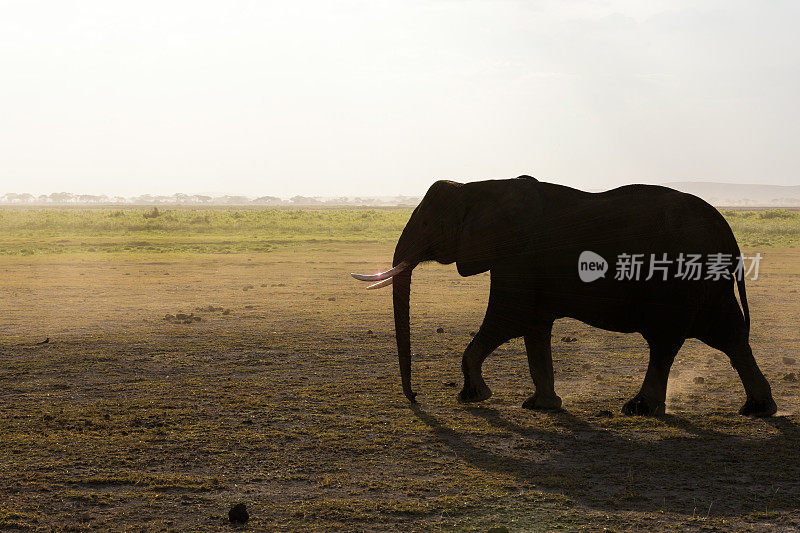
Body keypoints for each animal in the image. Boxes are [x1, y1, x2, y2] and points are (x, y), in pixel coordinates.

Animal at [350, 177, 776, 418]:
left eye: (426, 222)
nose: (416, 397)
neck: (476, 186)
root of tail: (728, 231)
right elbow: (533, 327)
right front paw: (542, 407)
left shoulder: (517, 256)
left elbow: (508, 318)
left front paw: (473, 397)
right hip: (707, 282)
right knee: (730, 336)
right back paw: (758, 410)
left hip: (679, 278)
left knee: (665, 340)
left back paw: (639, 410)